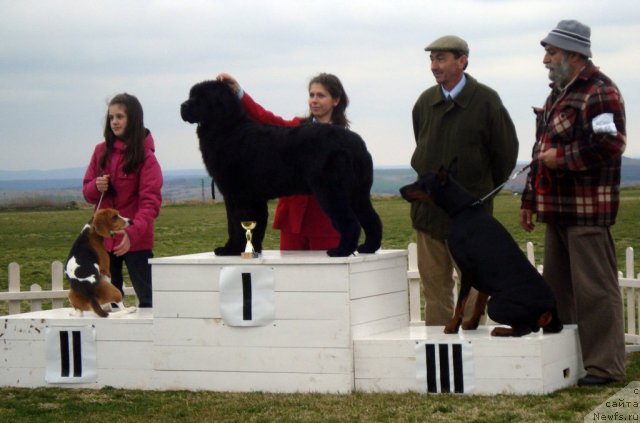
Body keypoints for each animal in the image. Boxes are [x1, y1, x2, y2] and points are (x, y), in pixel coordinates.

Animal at [180, 80, 380, 258]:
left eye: (202, 97)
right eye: (191, 95)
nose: (183, 106)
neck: (228, 128)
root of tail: (356, 143)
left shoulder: (237, 194)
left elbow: (235, 224)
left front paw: (231, 250)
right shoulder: (253, 197)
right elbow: (255, 225)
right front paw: (252, 250)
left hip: (331, 190)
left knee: (350, 221)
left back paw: (341, 251)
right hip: (358, 192)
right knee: (371, 218)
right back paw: (368, 247)